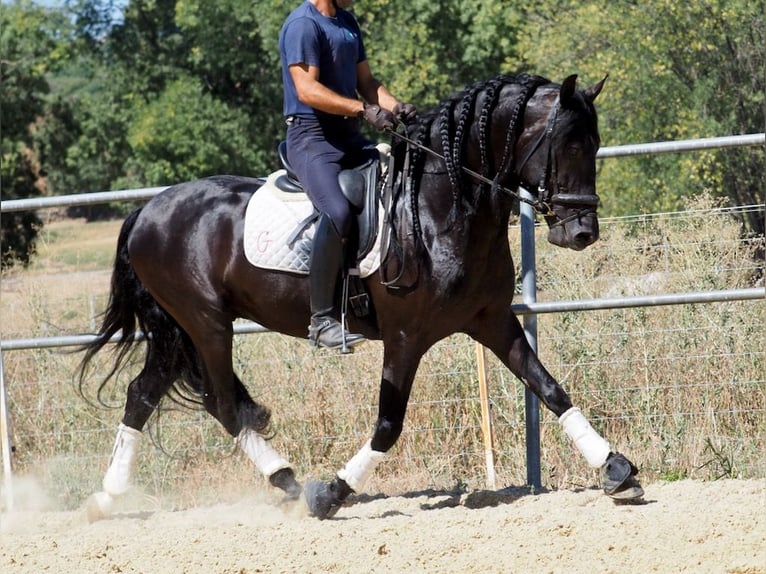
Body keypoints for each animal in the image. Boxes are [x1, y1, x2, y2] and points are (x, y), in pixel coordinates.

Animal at [78, 73, 644, 520]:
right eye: (571, 145)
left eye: (594, 144)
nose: (582, 233)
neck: (442, 209)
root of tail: (147, 210)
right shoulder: (405, 336)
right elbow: (389, 424)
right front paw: (331, 494)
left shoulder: (491, 319)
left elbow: (550, 389)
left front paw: (617, 470)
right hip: (206, 322)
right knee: (221, 402)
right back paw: (291, 483)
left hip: (179, 329)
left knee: (144, 393)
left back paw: (108, 498)